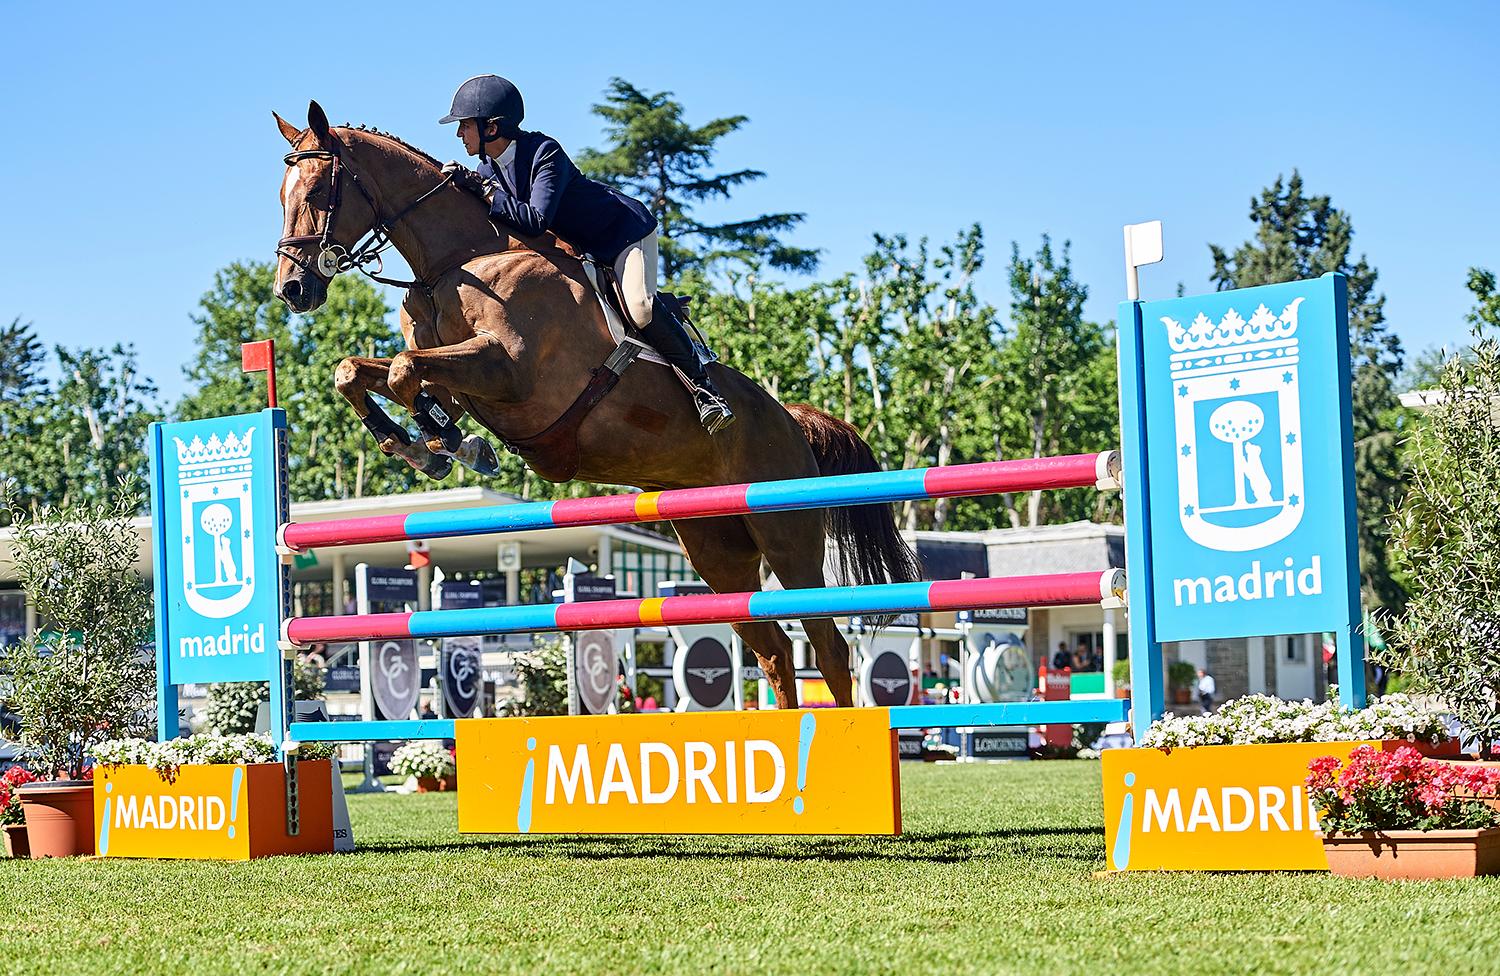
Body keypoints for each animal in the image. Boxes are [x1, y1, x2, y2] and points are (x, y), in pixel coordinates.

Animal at [274, 101, 918, 710]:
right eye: (282, 196)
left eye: (316, 192)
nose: (291, 290)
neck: (459, 261)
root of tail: (793, 423)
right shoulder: (460, 375)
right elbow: (360, 372)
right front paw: (426, 443)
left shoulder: (510, 371)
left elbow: (406, 371)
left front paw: (446, 445)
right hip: (715, 549)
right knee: (775, 650)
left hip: (785, 534)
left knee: (827, 647)